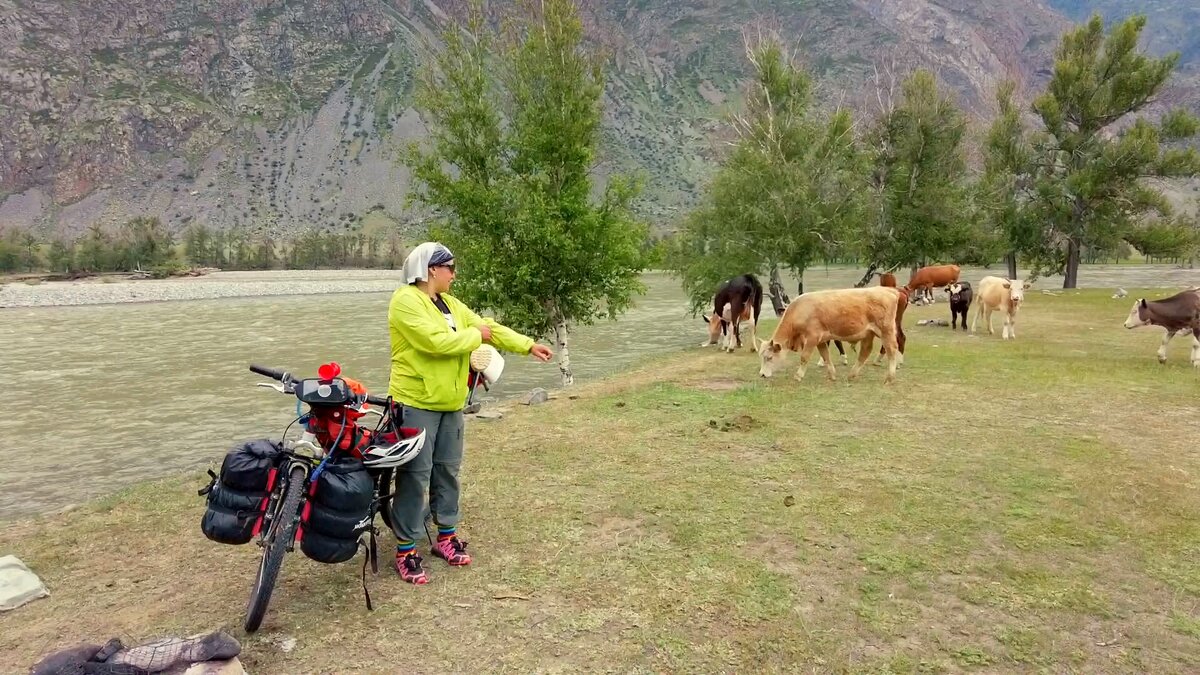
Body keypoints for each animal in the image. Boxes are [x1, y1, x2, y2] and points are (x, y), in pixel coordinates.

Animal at [758, 283, 902, 384]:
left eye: (769, 357)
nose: (762, 375)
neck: (802, 310)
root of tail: (888, 290)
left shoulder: (812, 337)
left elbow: (804, 357)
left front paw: (798, 376)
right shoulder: (821, 340)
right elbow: (826, 356)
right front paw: (832, 375)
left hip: (886, 331)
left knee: (891, 350)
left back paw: (890, 378)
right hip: (868, 333)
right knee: (865, 351)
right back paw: (852, 375)